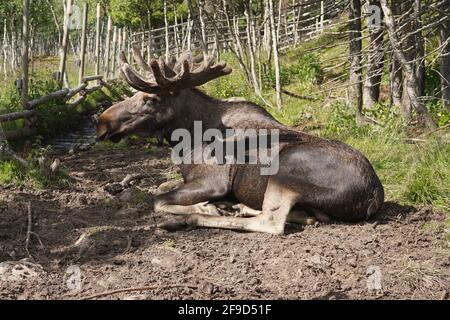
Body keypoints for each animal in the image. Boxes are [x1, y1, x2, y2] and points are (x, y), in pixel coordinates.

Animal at [96, 46, 384, 234]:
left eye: (150, 99)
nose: (101, 122)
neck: (185, 138)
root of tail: (374, 194)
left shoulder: (213, 181)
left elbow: (158, 200)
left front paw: (206, 208)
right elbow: (160, 189)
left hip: (285, 170)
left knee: (271, 223)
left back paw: (192, 218)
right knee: (305, 217)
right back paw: (238, 206)